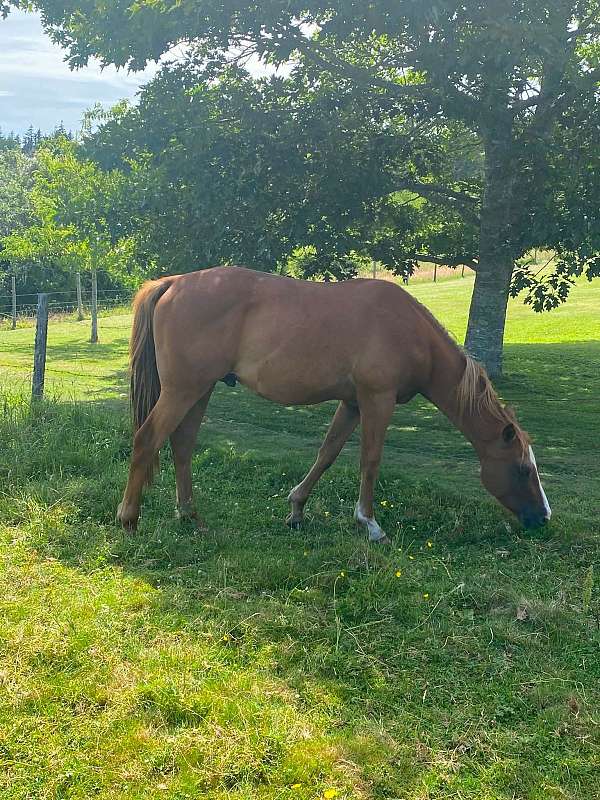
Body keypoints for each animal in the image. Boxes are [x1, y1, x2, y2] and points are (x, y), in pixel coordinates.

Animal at [117, 266, 551, 539]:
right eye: (522, 469)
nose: (543, 517)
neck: (408, 330)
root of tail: (172, 283)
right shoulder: (378, 400)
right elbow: (370, 461)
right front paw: (369, 523)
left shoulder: (353, 404)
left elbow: (326, 454)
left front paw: (296, 509)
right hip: (183, 390)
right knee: (147, 439)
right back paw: (129, 519)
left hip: (200, 389)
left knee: (182, 444)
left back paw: (190, 515)